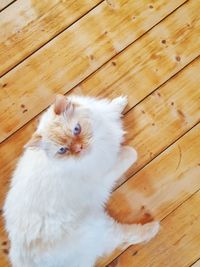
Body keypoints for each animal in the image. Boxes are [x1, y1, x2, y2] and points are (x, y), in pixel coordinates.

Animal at [3, 95, 159, 266]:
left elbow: (110, 108)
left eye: (76, 129)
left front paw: (121, 102)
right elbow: (132, 152)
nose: (79, 148)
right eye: (62, 150)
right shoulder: (104, 174)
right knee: (124, 237)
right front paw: (123, 151)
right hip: (98, 228)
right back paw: (153, 227)